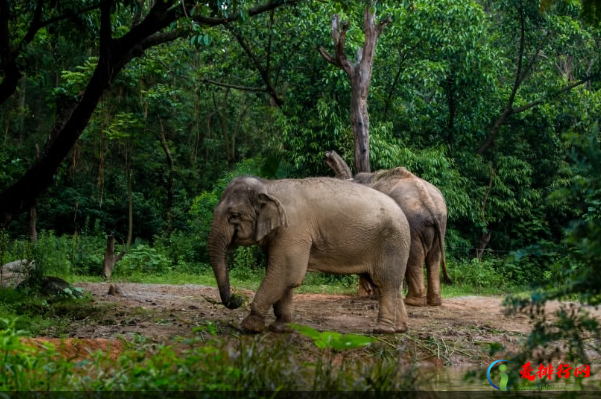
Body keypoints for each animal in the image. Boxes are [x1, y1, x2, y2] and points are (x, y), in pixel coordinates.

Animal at [209, 177, 410, 334]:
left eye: (234, 216)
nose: (237, 298)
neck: (268, 186)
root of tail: (402, 212)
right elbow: (283, 277)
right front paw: (280, 327)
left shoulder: (292, 230)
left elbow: (287, 273)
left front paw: (248, 327)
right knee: (392, 284)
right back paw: (399, 329)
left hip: (391, 243)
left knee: (385, 283)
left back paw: (382, 330)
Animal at [324, 152, 450, 308]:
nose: (327, 155)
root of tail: (430, 202)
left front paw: (375, 295)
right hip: (441, 223)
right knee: (434, 257)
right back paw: (434, 302)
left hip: (413, 224)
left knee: (415, 257)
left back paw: (412, 302)